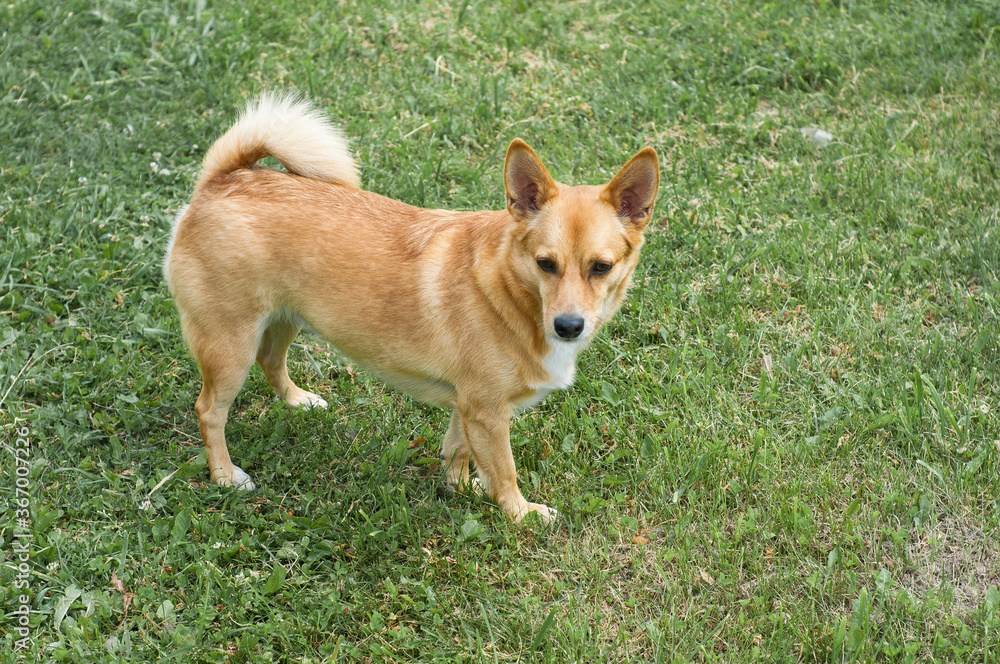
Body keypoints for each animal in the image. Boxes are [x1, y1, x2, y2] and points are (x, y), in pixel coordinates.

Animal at [164, 93, 660, 520]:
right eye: (545, 264)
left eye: (601, 267)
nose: (568, 326)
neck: (509, 292)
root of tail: (224, 178)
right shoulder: (488, 414)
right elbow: (505, 471)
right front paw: (520, 514)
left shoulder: (470, 407)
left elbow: (459, 451)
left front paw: (463, 490)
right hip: (230, 347)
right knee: (209, 411)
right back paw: (225, 475)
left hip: (284, 318)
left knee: (272, 360)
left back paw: (297, 400)